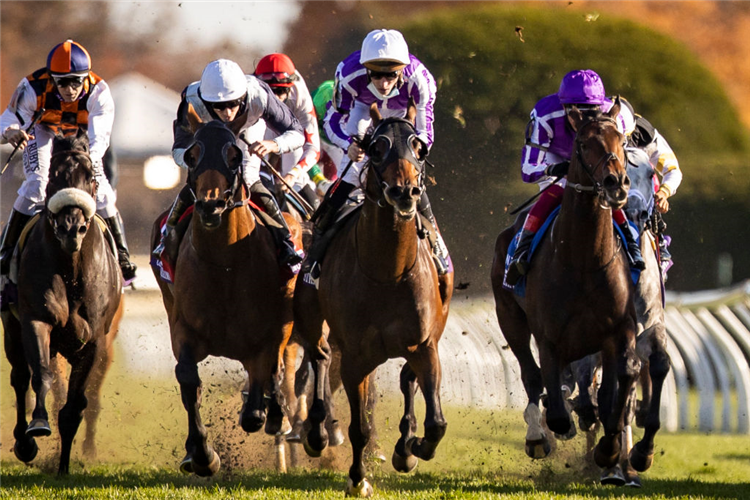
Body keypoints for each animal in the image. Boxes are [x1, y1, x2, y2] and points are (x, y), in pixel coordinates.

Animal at [1, 133, 123, 472]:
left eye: (91, 178)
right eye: (53, 177)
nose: (71, 228)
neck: (71, 270)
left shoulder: (95, 340)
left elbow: (75, 404)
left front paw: (64, 468)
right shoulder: (36, 321)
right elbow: (41, 375)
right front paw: (37, 427)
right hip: (11, 327)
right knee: (20, 377)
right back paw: (23, 442)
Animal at [151, 118, 302, 476]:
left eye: (234, 155)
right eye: (191, 156)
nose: (211, 205)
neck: (226, 264)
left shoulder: (271, 332)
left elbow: (264, 383)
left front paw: (266, 413)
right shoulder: (183, 329)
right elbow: (188, 381)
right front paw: (202, 455)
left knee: (275, 373)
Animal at [296, 104, 456, 496]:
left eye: (418, 147)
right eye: (376, 147)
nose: (405, 191)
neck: (387, 271)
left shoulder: (424, 345)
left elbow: (436, 422)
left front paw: (414, 448)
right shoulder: (357, 356)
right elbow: (360, 427)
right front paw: (357, 479)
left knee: (407, 379)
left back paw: (405, 446)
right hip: (311, 316)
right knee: (319, 356)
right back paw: (317, 433)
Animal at [490, 102, 644, 472]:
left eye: (621, 140)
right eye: (583, 144)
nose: (616, 183)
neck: (584, 261)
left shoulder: (619, 329)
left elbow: (619, 383)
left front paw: (609, 449)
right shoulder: (548, 337)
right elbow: (557, 408)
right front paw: (560, 423)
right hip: (510, 318)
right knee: (532, 376)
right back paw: (537, 435)